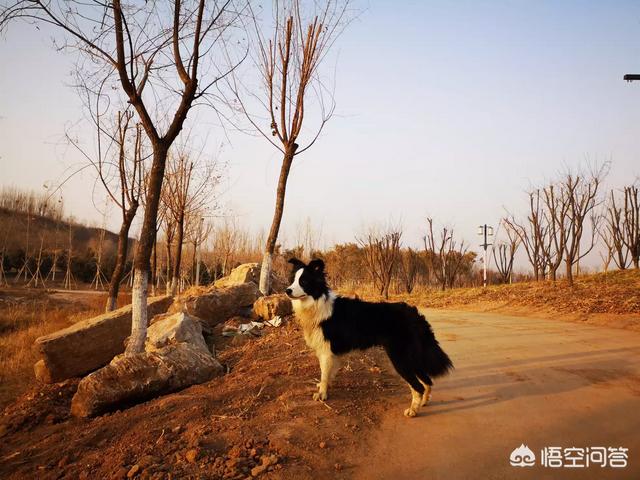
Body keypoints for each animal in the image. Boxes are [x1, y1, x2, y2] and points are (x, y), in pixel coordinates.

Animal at [288, 258, 452, 416]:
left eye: (304, 281)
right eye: (292, 280)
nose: (287, 290)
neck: (317, 303)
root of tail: (415, 314)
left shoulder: (326, 350)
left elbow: (324, 374)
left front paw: (322, 394)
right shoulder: (332, 353)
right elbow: (328, 374)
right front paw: (325, 386)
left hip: (400, 358)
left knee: (418, 386)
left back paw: (413, 410)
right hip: (412, 357)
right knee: (427, 381)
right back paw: (423, 402)